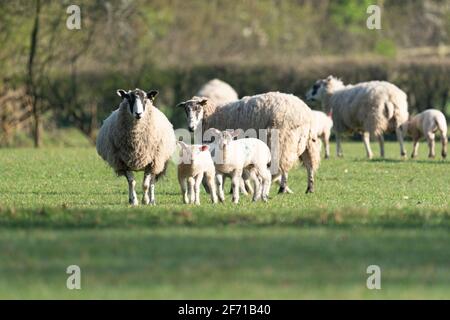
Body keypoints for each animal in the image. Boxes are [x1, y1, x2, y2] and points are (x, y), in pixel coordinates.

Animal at [176, 91, 320, 194]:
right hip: (308, 143)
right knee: (309, 165)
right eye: (186, 110)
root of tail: (305, 114)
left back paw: (282, 188)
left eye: (198, 108)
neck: (213, 115)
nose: (190, 127)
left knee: (283, 166)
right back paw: (310, 188)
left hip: (283, 140)